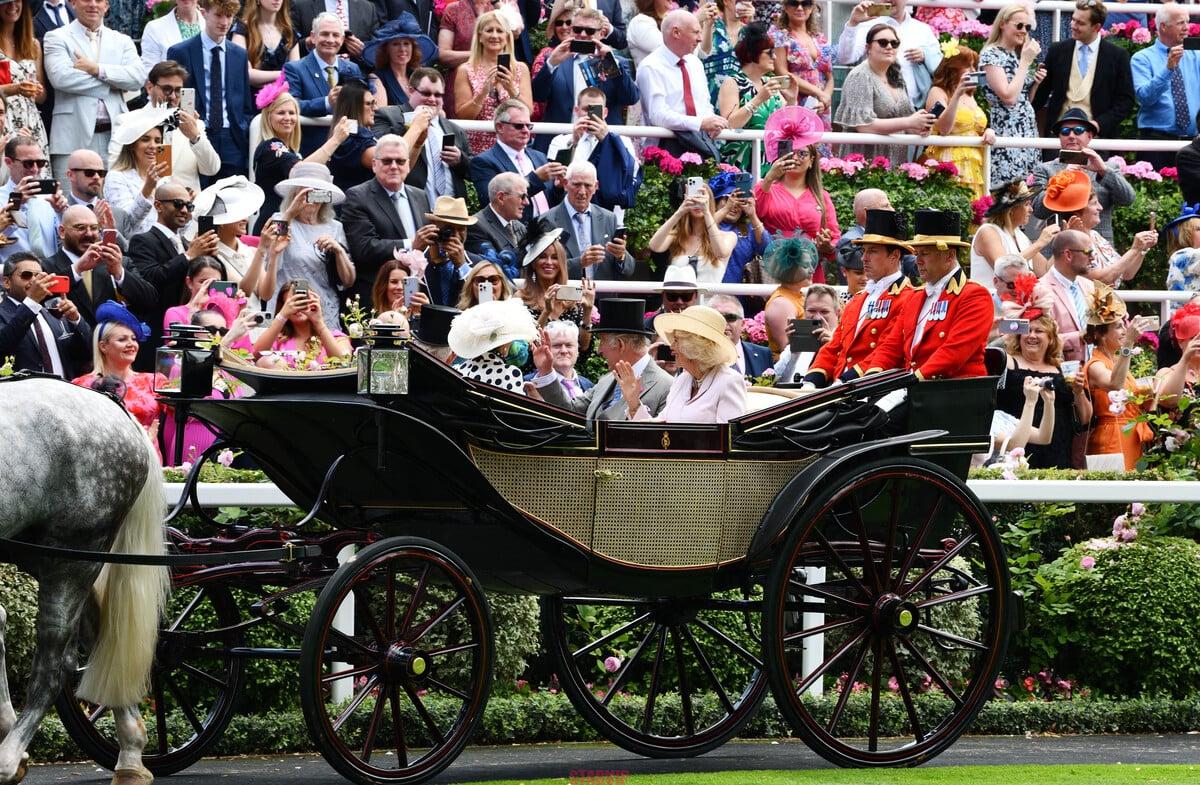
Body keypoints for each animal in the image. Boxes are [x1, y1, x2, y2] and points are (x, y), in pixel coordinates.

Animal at [0, 379, 169, 782]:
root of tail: (111, 403)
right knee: (100, 635)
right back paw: (131, 753)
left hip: (72, 556)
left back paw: (8, 759)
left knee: (53, 665)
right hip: (43, 554)